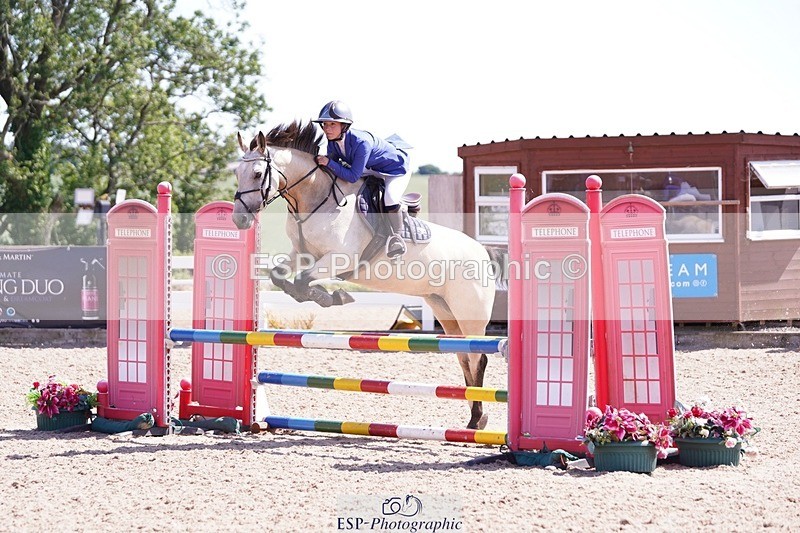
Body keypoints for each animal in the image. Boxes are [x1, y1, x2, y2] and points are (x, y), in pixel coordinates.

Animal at [231, 122, 497, 430]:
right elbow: (280, 277)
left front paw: (334, 297)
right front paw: (330, 296)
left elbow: (301, 282)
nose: (239, 219)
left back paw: (478, 419)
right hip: (444, 309)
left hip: (470, 313)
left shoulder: (338, 258)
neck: (317, 198)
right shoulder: (301, 254)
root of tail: (482, 251)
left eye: (257, 173)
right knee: (464, 355)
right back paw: (474, 418)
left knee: (478, 357)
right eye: (236, 173)